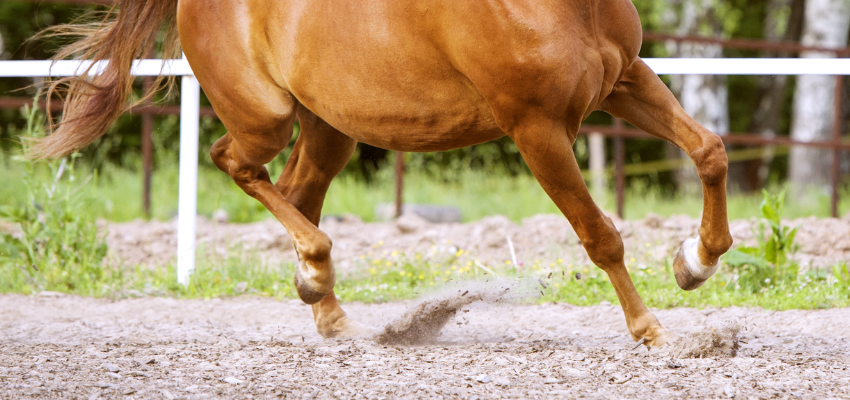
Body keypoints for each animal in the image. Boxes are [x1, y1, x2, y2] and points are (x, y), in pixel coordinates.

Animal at [34, 0, 728, 346]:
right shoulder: (537, 129)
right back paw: (318, 272)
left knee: (297, 190)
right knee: (236, 162)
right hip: (267, 116)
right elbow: (600, 235)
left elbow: (710, 150)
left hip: (330, 126)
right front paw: (651, 330)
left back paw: (325, 303)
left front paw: (694, 263)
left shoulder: (626, 79)